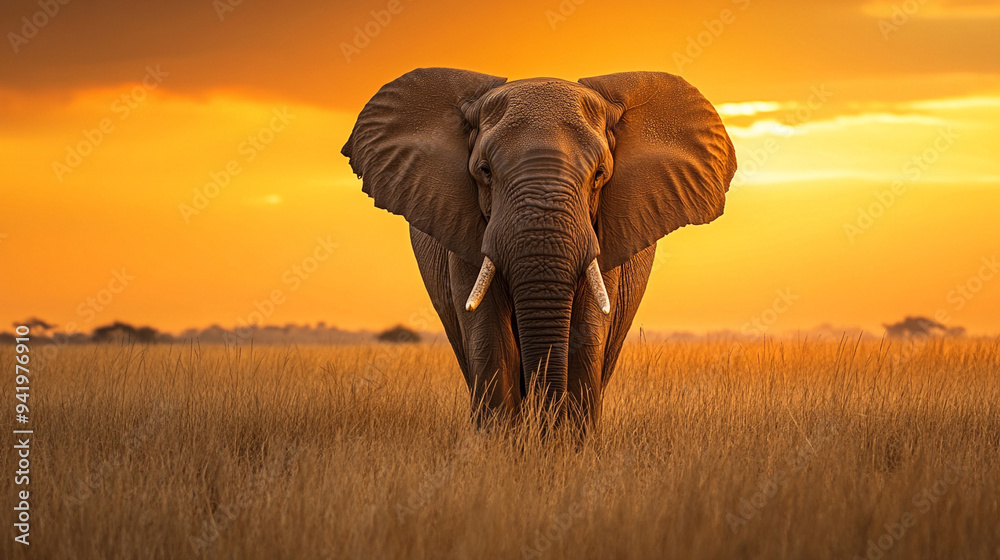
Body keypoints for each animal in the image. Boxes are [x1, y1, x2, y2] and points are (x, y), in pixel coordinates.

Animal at [343, 68, 736, 429]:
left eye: (599, 175)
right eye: (484, 171)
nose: (543, 421)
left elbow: (587, 330)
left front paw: (566, 446)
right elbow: (490, 334)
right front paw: (502, 446)